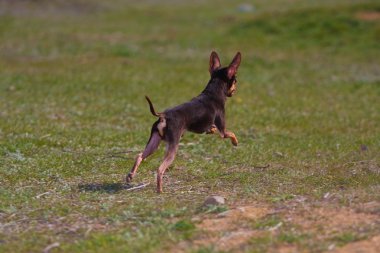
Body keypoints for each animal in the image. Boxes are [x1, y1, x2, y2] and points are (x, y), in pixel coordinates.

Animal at [126, 52, 242, 194]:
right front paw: (235, 142)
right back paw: (160, 190)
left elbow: (211, 129)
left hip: (154, 143)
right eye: (235, 81)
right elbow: (231, 133)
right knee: (160, 169)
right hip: (172, 146)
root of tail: (163, 116)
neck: (213, 93)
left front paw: (213, 130)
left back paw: (130, 176)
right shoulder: (223, 131)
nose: (235, 90)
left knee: (139, 156)